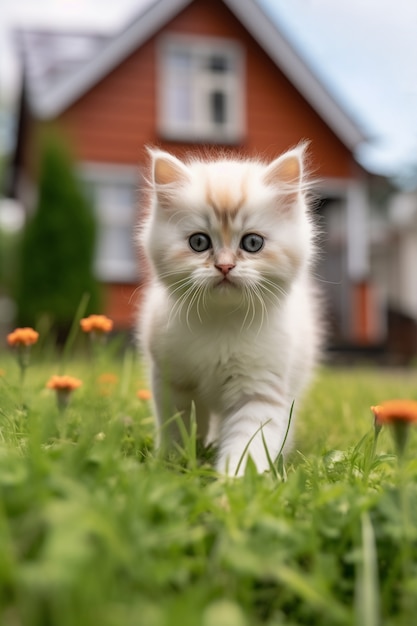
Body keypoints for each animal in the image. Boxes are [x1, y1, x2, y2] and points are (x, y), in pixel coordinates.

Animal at [139, 145, 318, 472]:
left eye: (252, 243)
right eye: (199, 242)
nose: (224, 266)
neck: (221, 321)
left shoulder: (260, 390)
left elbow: (248, 443)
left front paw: (232, 480)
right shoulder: (173, 382)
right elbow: (178, 426)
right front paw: (173, 462)